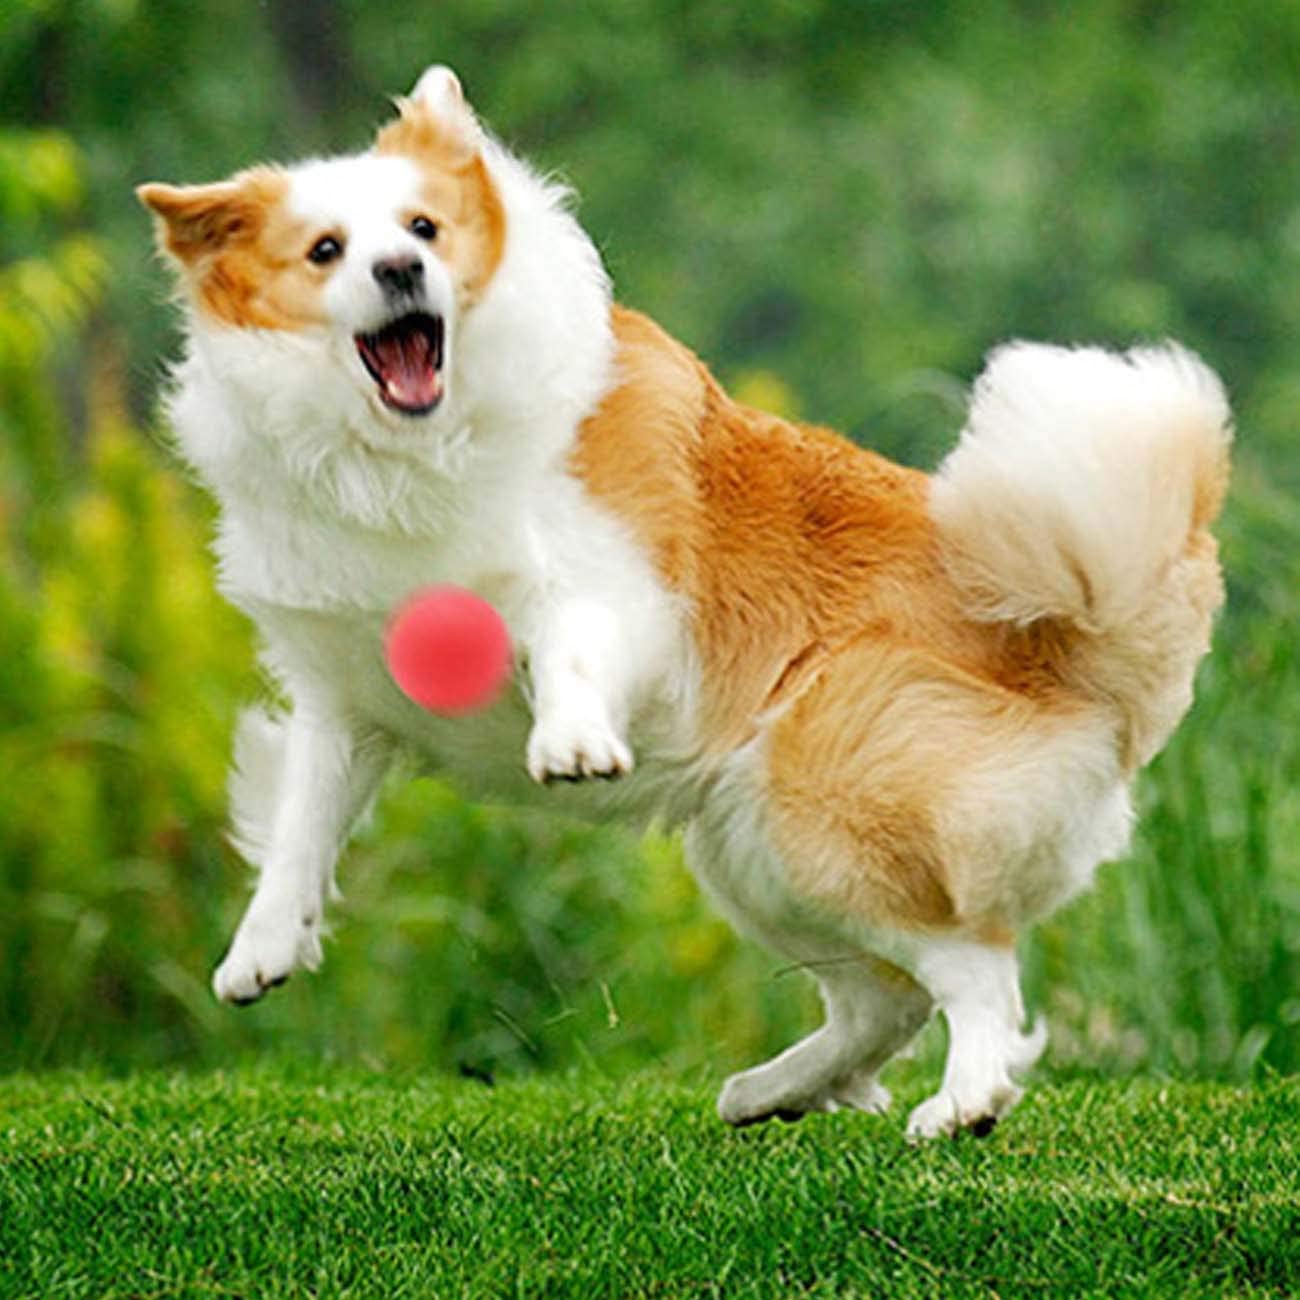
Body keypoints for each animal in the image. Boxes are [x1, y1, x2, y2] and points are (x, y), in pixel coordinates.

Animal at [139, 63, 1227, 1138]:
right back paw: (774, 1090)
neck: (412, 450)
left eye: (424, 229)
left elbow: (571, 643)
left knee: (973, 968)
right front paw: (263, 947)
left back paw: (961, 1102)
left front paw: (571, 741)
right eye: (326, 250)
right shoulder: (345, 697)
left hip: (815, 810)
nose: (401, 272)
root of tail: (1072, 629)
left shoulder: (620, 587)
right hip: (752, 850)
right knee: (886, 997)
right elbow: (300, 820)